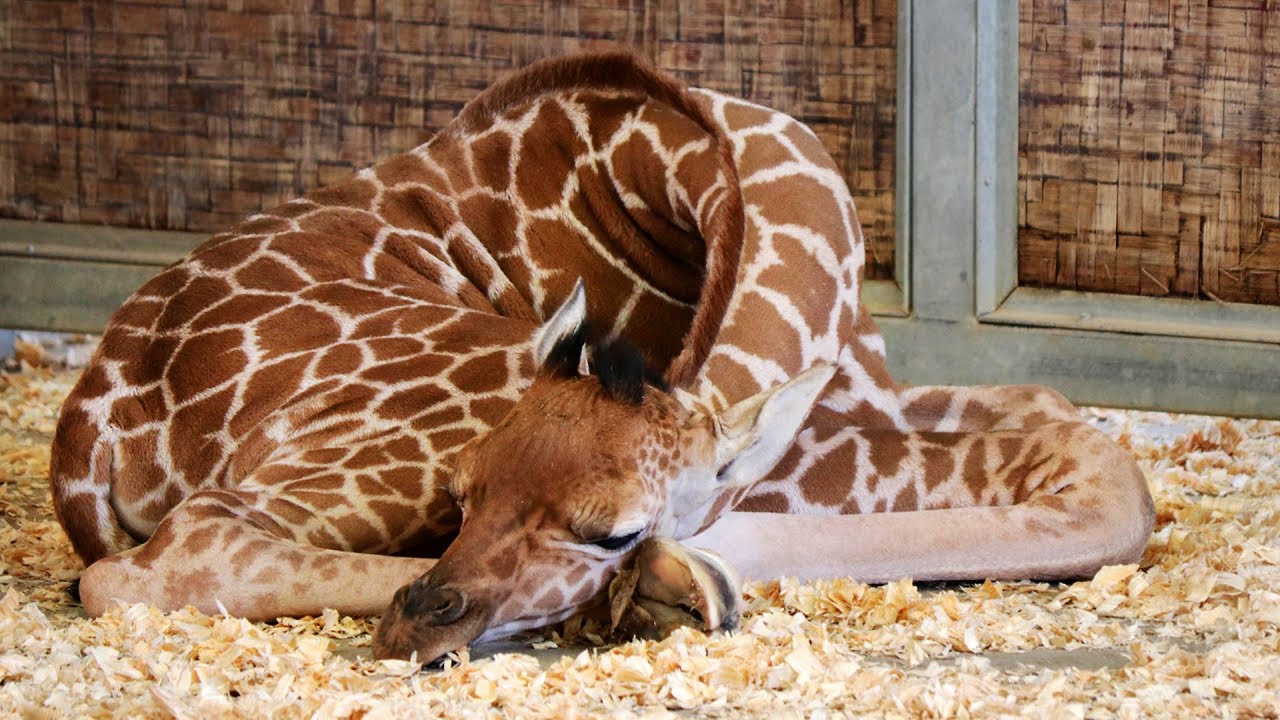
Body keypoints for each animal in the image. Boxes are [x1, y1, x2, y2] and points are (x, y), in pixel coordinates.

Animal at [49, 52, 1154, 664]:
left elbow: (1073, 430)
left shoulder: (869, 396)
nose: (415, 628)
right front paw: (677, 585)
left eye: (612, 527)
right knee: (166, 559)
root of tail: (91, 434)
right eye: (460, 494)